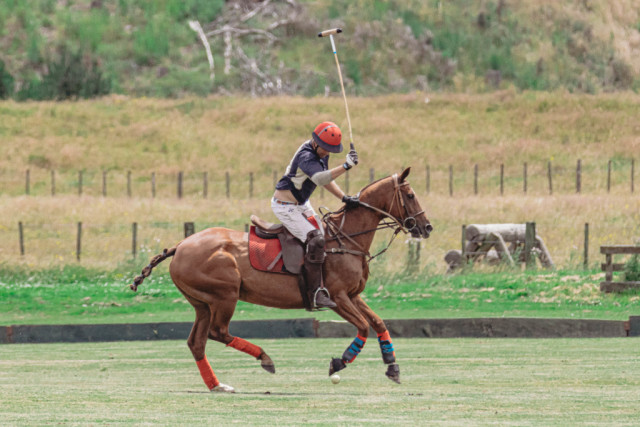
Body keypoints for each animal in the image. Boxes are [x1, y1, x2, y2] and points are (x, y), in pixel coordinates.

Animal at [130, 167, 432, 392]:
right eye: (410, 194)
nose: (426, 227)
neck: (347, 239)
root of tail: (180, 246)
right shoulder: (336, 296)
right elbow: (362, 326)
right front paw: (339, 362)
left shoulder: (353, 295)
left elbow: (378, 322)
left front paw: (392, 366)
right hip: (224, 295)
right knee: (218, 332)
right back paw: (265, 359)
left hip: (202, 303)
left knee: (197, 342)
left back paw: (217, 385)